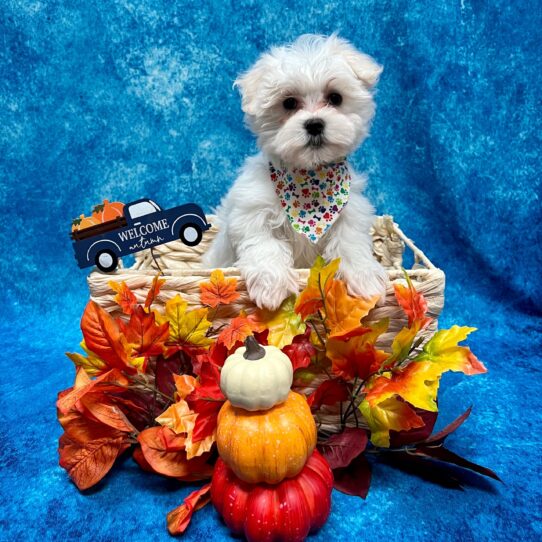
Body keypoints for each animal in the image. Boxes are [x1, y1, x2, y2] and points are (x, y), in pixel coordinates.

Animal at [205, 35, 392, 310]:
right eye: (289, 103)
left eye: (335, 98)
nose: (314, 124)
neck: (308, 179)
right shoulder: (251, 212)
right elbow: (265, 245)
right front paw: (271, 286)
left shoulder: (351, 213)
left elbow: (351, 243)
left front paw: (365, 278)